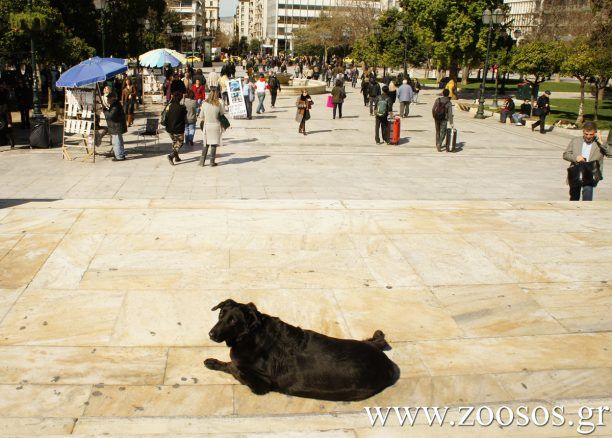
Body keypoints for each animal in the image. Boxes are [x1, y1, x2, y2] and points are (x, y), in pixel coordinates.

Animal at [203, 300, 400, 402]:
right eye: (221, 315)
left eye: (233, 321)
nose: (211, 334)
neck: (251, 333)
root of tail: (388, 366)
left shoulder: (260, 384)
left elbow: (233, 366)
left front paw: (213, 362)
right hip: (365, 344)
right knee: (378, 341)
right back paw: (378, 336)